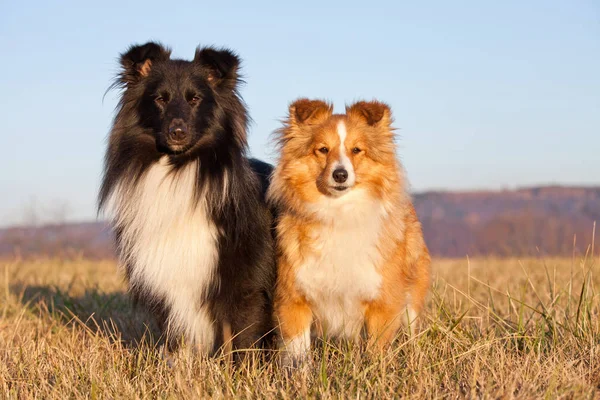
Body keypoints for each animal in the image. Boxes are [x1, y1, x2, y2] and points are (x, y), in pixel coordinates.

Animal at [99, 42, 276, 358]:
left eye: (195, 99)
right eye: (159, 99)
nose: (177, 132)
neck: (178, 171)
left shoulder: (246, 287)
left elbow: (242, 342)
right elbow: (179, 340)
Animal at [268, 98, 432, 364]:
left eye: (357, 150)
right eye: (323, 149)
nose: (340, 174)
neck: (339, 213)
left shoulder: (382, 302)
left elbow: (376, 351)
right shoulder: (293, 299)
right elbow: (297, 353)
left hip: (412, 297)